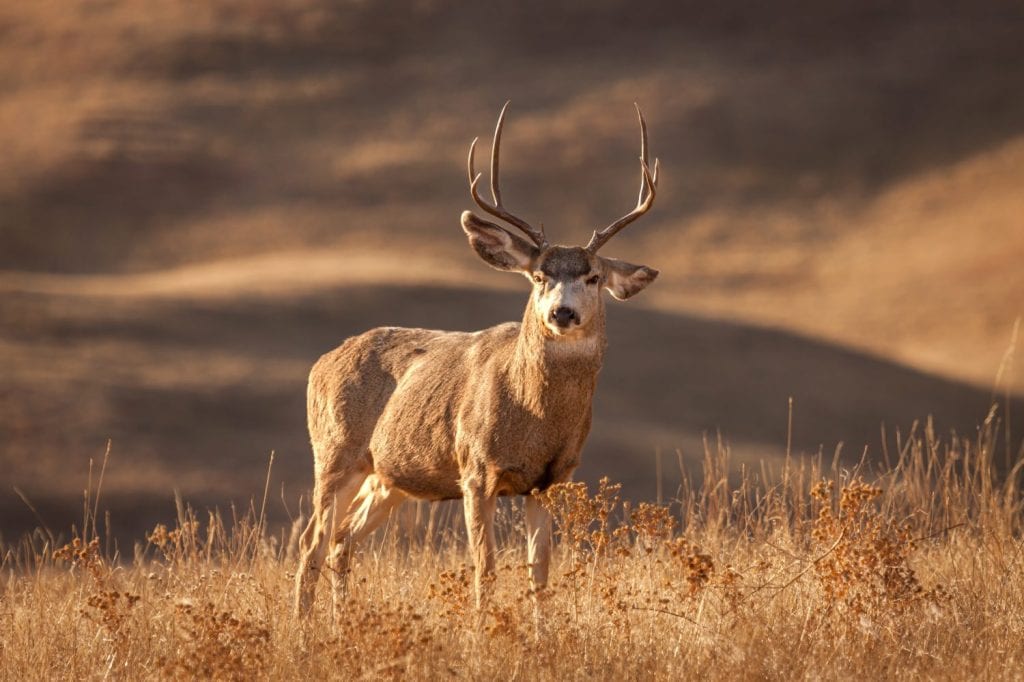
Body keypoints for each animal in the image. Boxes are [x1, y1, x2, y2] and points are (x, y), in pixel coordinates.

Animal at [295, 102, 660, 616]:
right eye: (539, 276)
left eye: (592, 276)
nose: (562, 312)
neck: (534, 417)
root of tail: (320, 364)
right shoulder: (475, 468)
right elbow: (485, 570)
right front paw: (482, 631)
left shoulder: (551, 480)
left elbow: (539, 574)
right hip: (334, 452)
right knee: (312, 541)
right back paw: (303, 626)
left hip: (388, 476)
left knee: (343, 541)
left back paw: (340, 622)